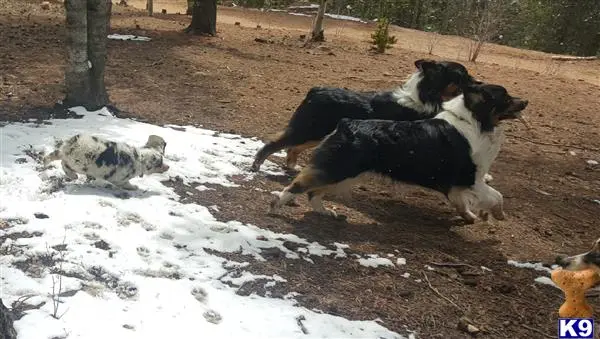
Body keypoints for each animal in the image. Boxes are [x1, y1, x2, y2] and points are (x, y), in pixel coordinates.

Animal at [270, 83, 528, 224]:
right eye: (505, 97)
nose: (525, 102)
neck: (474, 122)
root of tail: (345, 124)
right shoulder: (471, 178)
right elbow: (496, 196)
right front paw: (497, 214)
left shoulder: (458, 186)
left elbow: (462, 202)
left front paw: (472, 217)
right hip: (338, 171)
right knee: (299, 186)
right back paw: (276, 206)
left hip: (346, 176)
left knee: (314, 194)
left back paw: (326, 213)